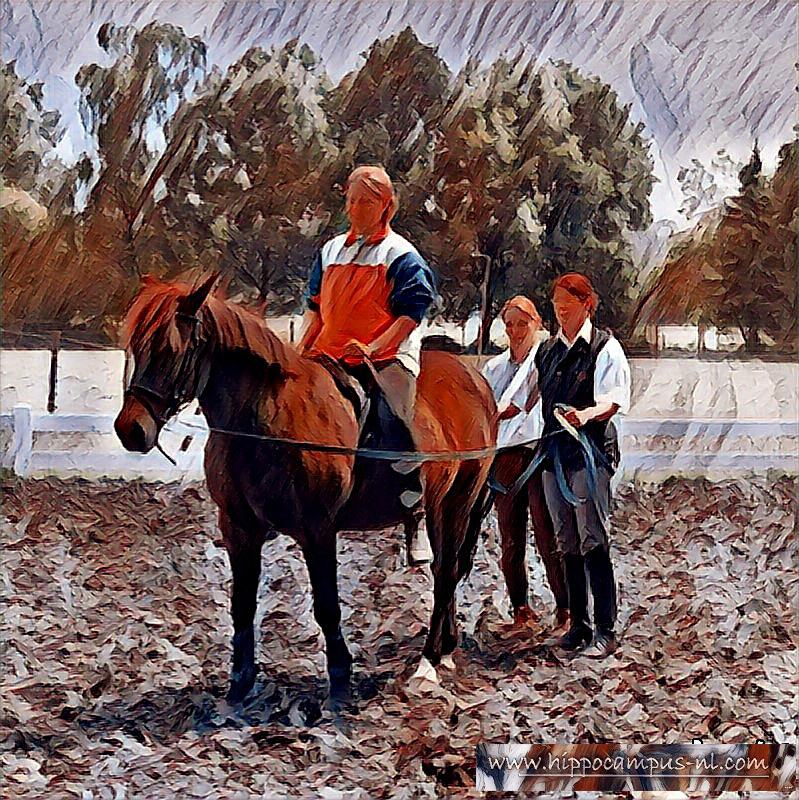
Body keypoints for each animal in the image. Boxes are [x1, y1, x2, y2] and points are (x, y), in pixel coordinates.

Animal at [114, 274, 497, 707]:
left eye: (170, 350)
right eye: (135, 345)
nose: (131, 430)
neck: (265, 417)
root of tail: (474, 378)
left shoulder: (317, 529)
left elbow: (327, 606)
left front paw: (340, 679)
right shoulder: (239, 528)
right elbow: (242, 605)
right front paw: (240, 684)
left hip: (456, 501)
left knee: (446, 571)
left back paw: (430, 659)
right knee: (446, 569)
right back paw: (445, 649)